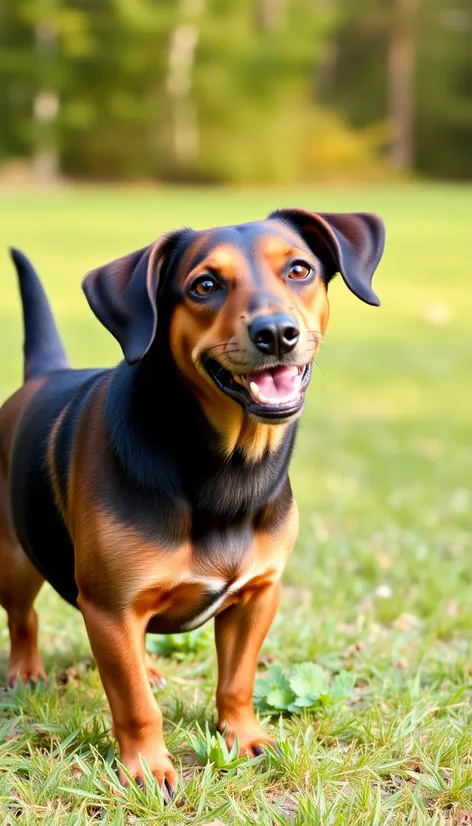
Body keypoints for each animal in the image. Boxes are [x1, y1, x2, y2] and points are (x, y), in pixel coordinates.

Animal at [0, 208, 384, 792]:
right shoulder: (110, 607)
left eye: (299, 269)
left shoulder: (258, 595)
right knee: (25, 621)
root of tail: (43, 375)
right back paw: (26, 671)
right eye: (204, 285)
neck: (230, 468)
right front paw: (147, 767)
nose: (276, 333)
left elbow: (237, 681)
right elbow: (134, 705)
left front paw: (244, 736)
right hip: (16, 561)